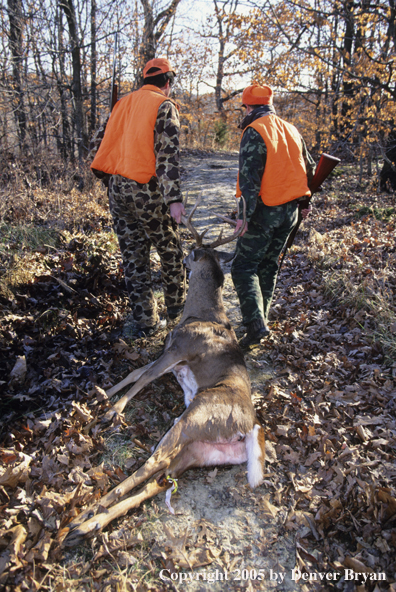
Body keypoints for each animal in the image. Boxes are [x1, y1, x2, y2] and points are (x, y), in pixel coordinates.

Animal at [61, 197, 266, 548]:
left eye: (191, 253)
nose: (183, 257)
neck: (200, 312)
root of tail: (248, 429)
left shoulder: (179, 350)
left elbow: (144, 377)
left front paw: (112, 412)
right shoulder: (173, 358)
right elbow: (135, 373)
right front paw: (99, 396)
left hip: (193, 418)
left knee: (152, 464)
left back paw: (82, 516)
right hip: (201, 451)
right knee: (156, 482)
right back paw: (86, 527)